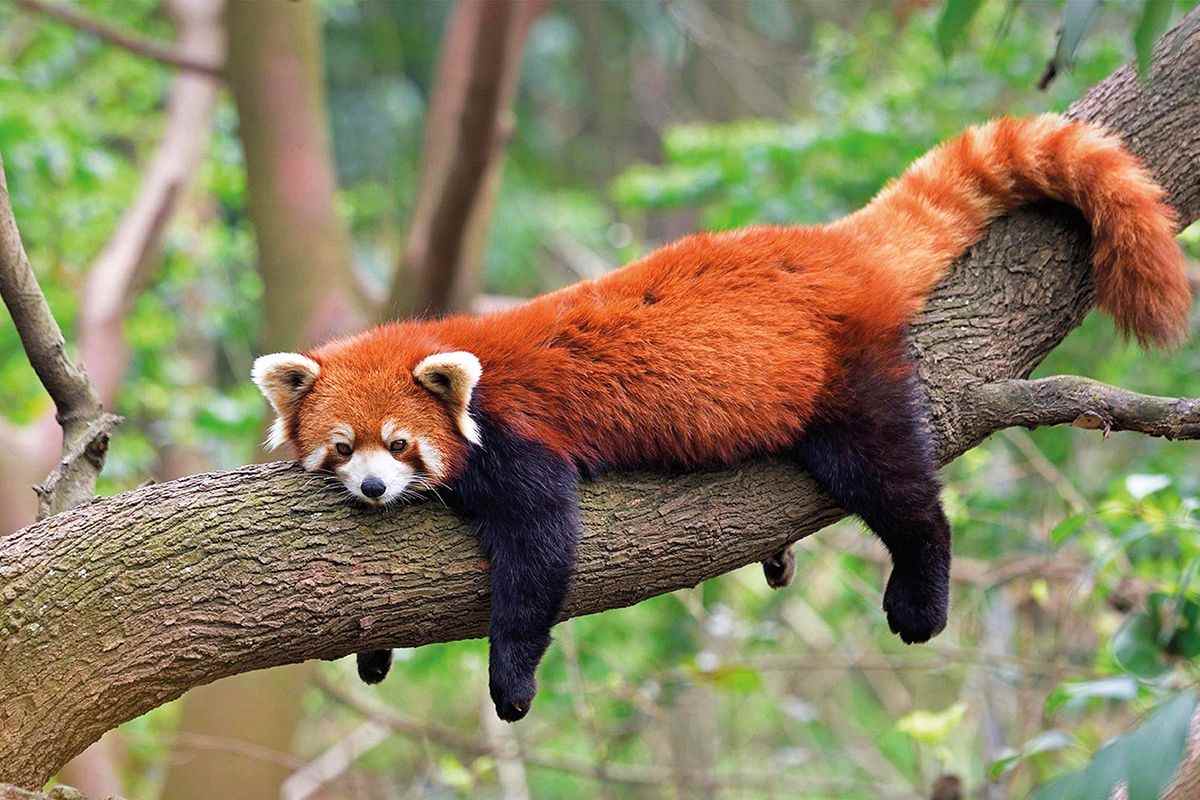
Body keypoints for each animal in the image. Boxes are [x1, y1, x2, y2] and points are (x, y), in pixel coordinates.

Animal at [253, 115, 1190, 724]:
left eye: (401, 444)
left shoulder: (518, 443)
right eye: (343, 447)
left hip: (845, 379)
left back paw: (921, 590)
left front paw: (510, 686)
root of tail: (829, 245)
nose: (374, 490)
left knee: (896, 484)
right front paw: (374, 652)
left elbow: (541, 551)